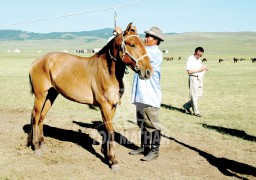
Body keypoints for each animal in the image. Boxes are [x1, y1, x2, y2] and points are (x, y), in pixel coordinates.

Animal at [27, 22, 152, 170]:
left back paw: (42, 143)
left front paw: (105, 154)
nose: (148, 71)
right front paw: (113, 160)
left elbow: (106, 129)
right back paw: (36, 147)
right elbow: (110, 131)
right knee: (35, 116)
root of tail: (37, 61)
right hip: (40, 95)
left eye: (143, 43)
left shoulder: (112, 106)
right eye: (132, 44)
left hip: (52, 94)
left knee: (41, 116)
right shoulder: (104, 106)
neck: (107, 72)